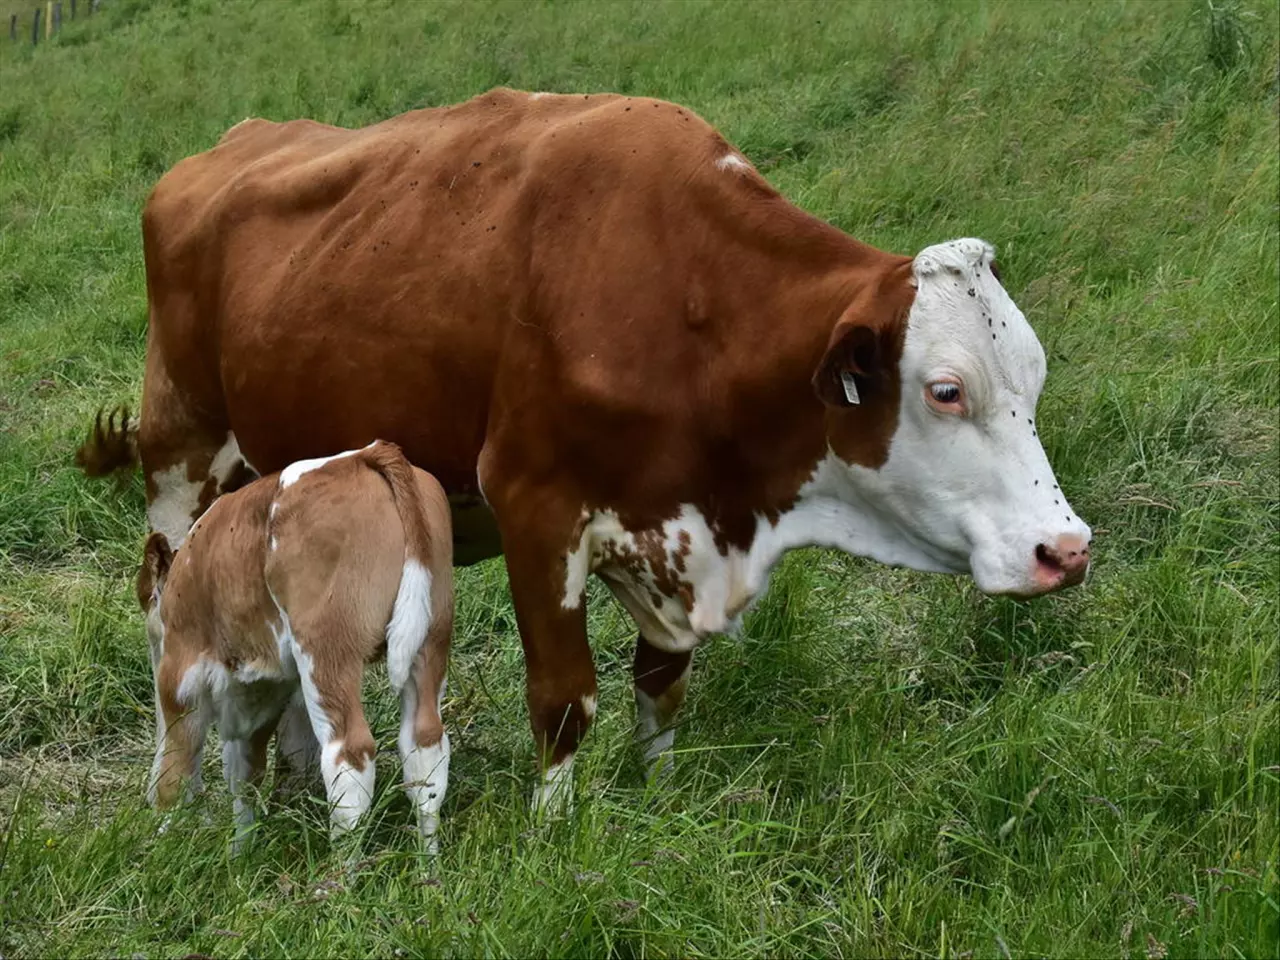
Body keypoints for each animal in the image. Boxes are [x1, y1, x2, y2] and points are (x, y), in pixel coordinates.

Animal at [140, 440, 455, 855]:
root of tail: (365, 455)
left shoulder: (182, 681)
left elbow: (175, 772)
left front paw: (163, 847)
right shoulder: (258, 689)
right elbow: (244, 773)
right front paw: (240, 854)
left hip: (326, 651)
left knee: (349, 758)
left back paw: (341, 870)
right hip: (431, 636)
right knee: (425, 749)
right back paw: (428, 861)